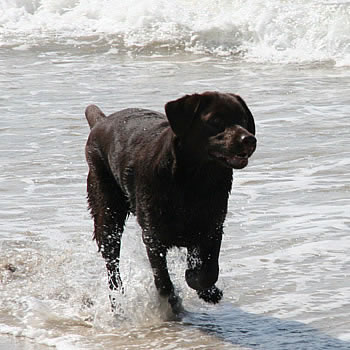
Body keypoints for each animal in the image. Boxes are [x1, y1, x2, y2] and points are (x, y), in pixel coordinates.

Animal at [83, 91, 256, 314]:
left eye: (243, 120)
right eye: (216, 121)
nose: (249, 139)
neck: (194, 181)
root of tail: (101, 122)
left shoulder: (212, 226)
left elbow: (208, 270)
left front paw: (206, 290)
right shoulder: (153, 234)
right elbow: (163, 280)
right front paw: (174, 300)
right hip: (107, 211)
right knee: (112, 264)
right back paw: (118, 303)